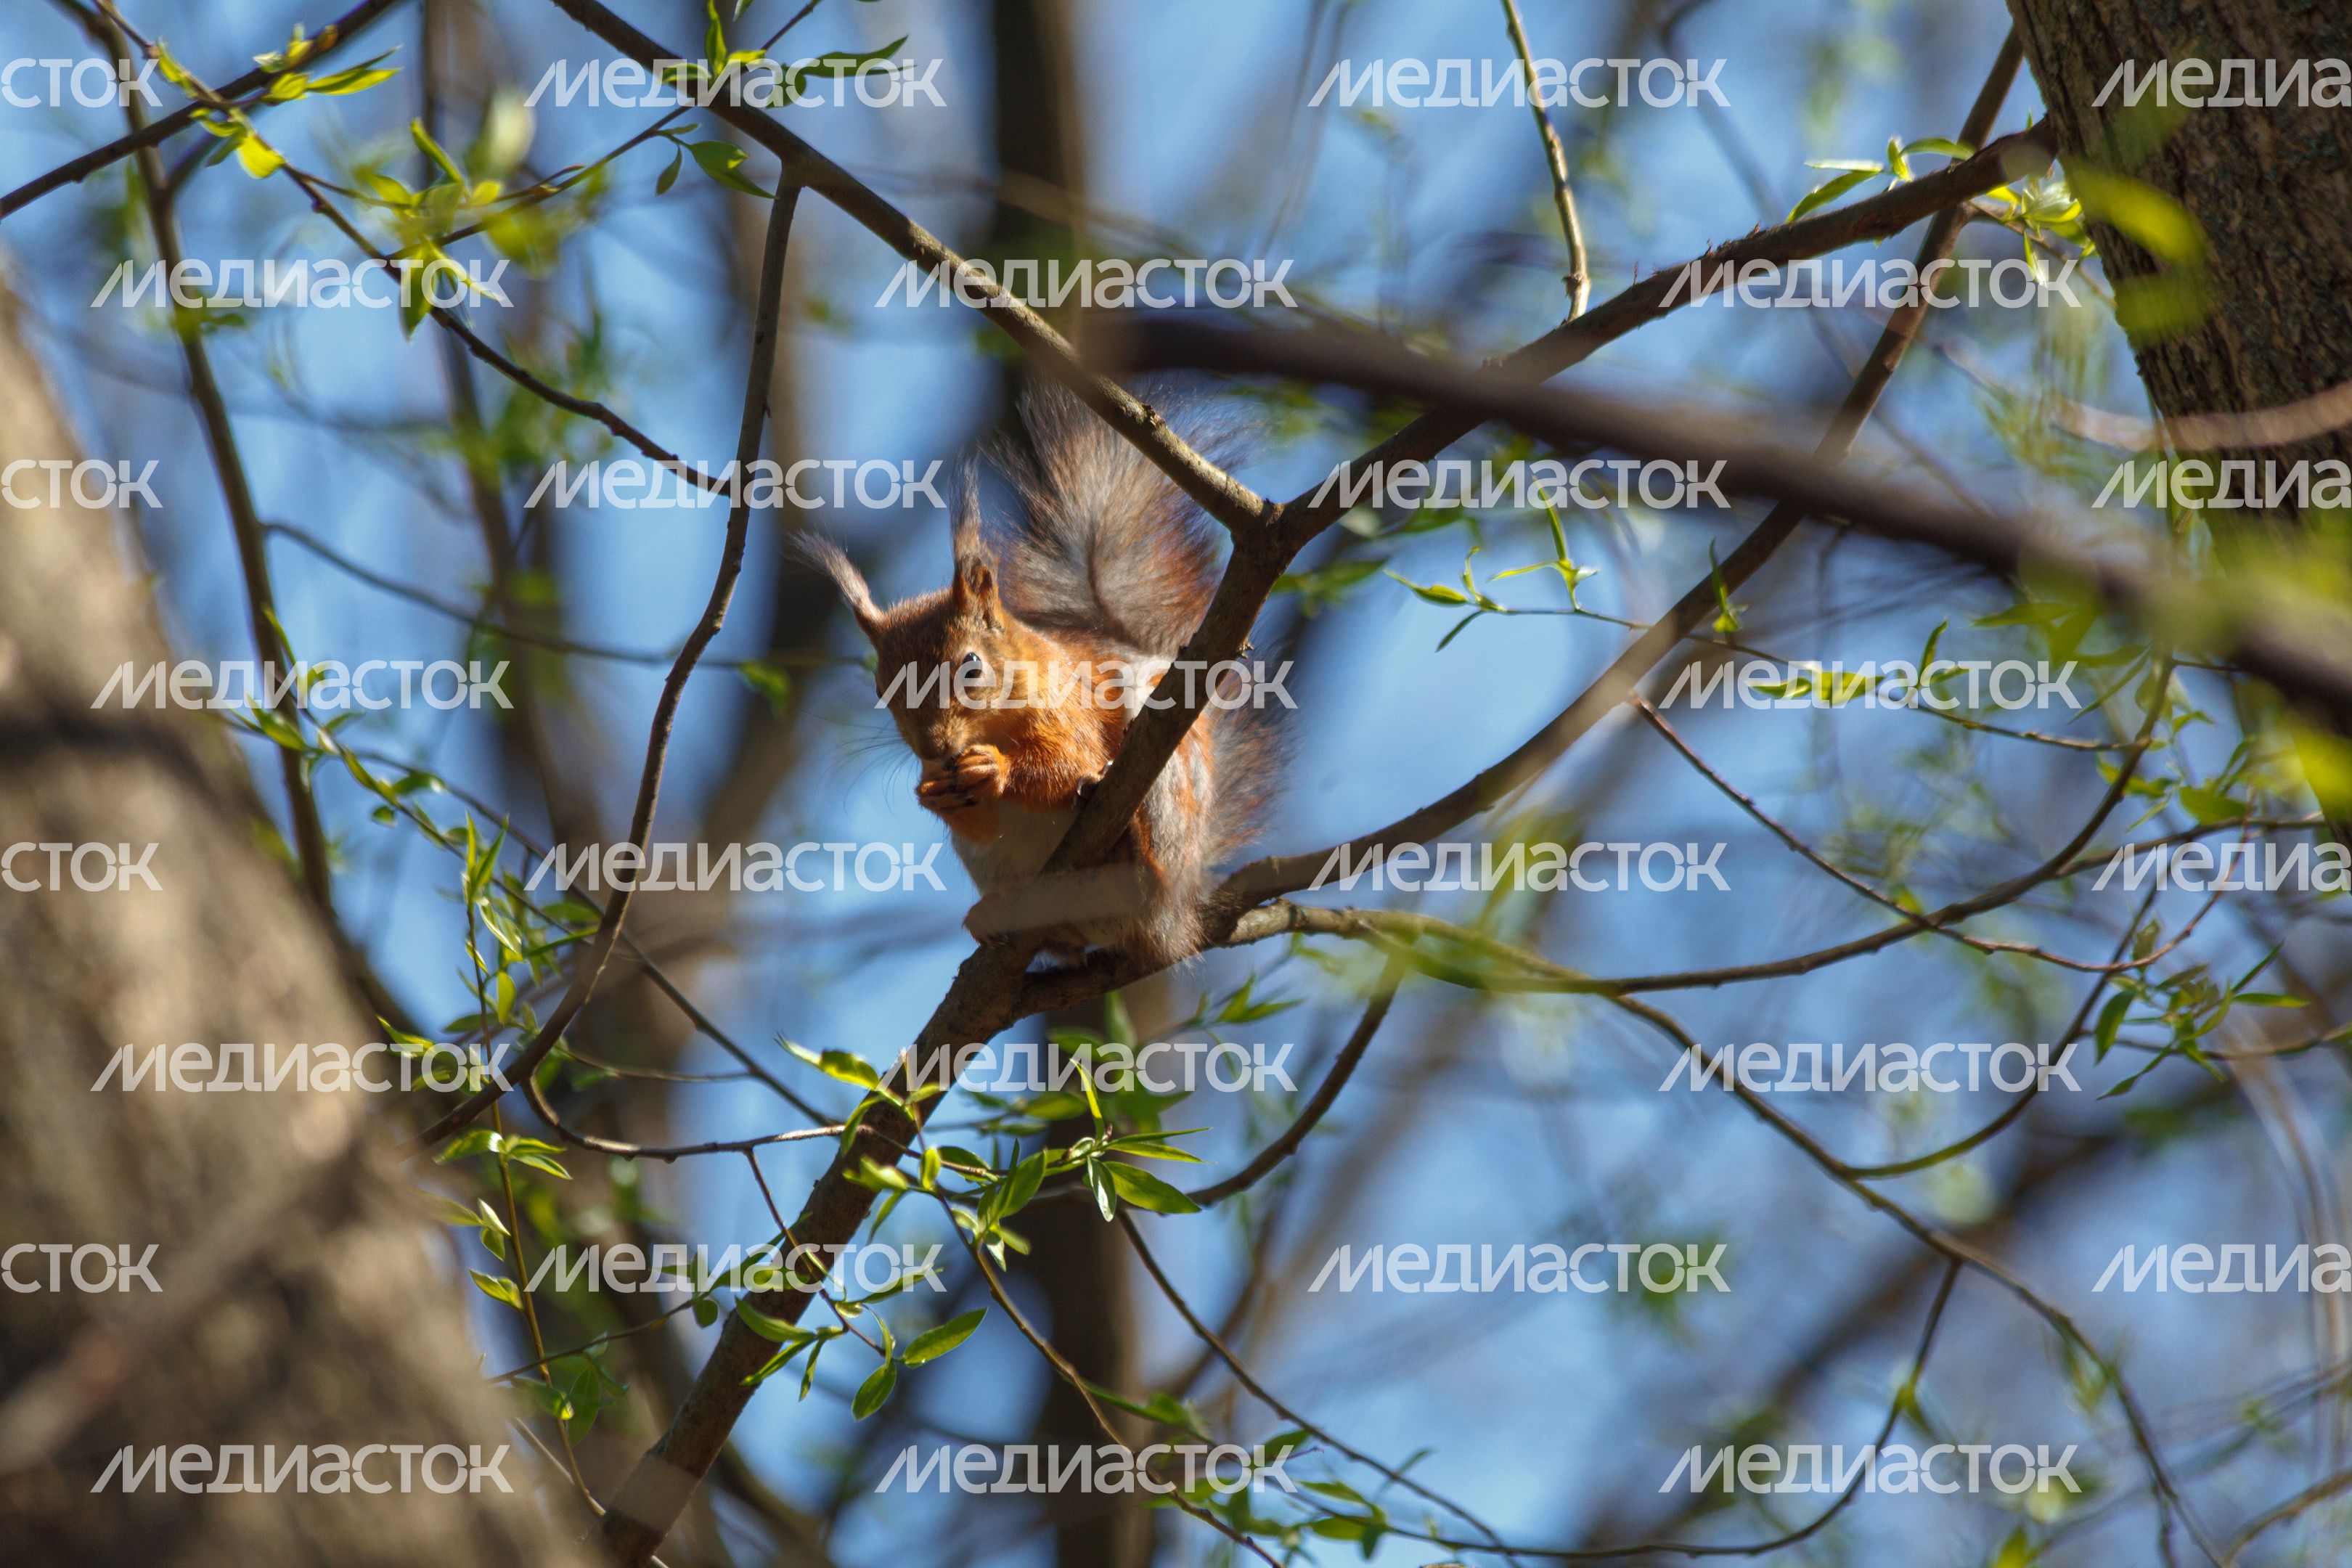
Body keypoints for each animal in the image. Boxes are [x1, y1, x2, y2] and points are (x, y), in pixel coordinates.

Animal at [801, 386, 1273, 968]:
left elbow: (1069, 761)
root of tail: (1173, 925)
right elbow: (979, 818)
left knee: (1144, 877)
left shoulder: (1068, 709)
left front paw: (997, 770)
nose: (935, 747)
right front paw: (933, 795)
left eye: (972, 666)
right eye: (879, 687)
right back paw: (1008, 920)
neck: (995, 725)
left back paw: (1134, 860)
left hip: (1166, 783)